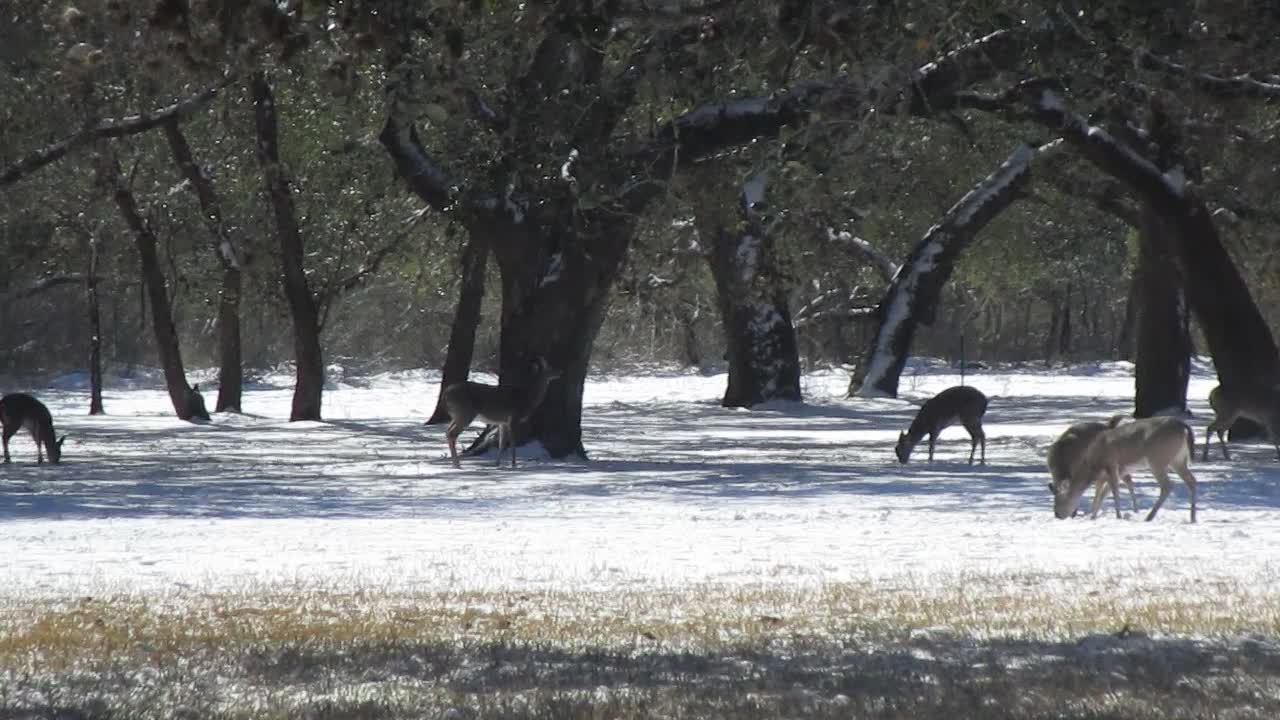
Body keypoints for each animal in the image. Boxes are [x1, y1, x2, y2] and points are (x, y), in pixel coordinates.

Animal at [1049, 415, 1198, 520]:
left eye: (1059, 500)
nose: (1057, 515)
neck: (1093, 463)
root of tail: (1184, 427)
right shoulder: (1119, 470)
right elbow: (1105, 492)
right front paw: (1093, 516)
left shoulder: (1111, 464)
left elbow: (1113, 491)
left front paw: (1118, 516)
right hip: (1178, 460)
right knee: (1191, 480)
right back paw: (1192, 518)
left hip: (1158, 459)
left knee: (1167, 485)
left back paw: (1149, 517)